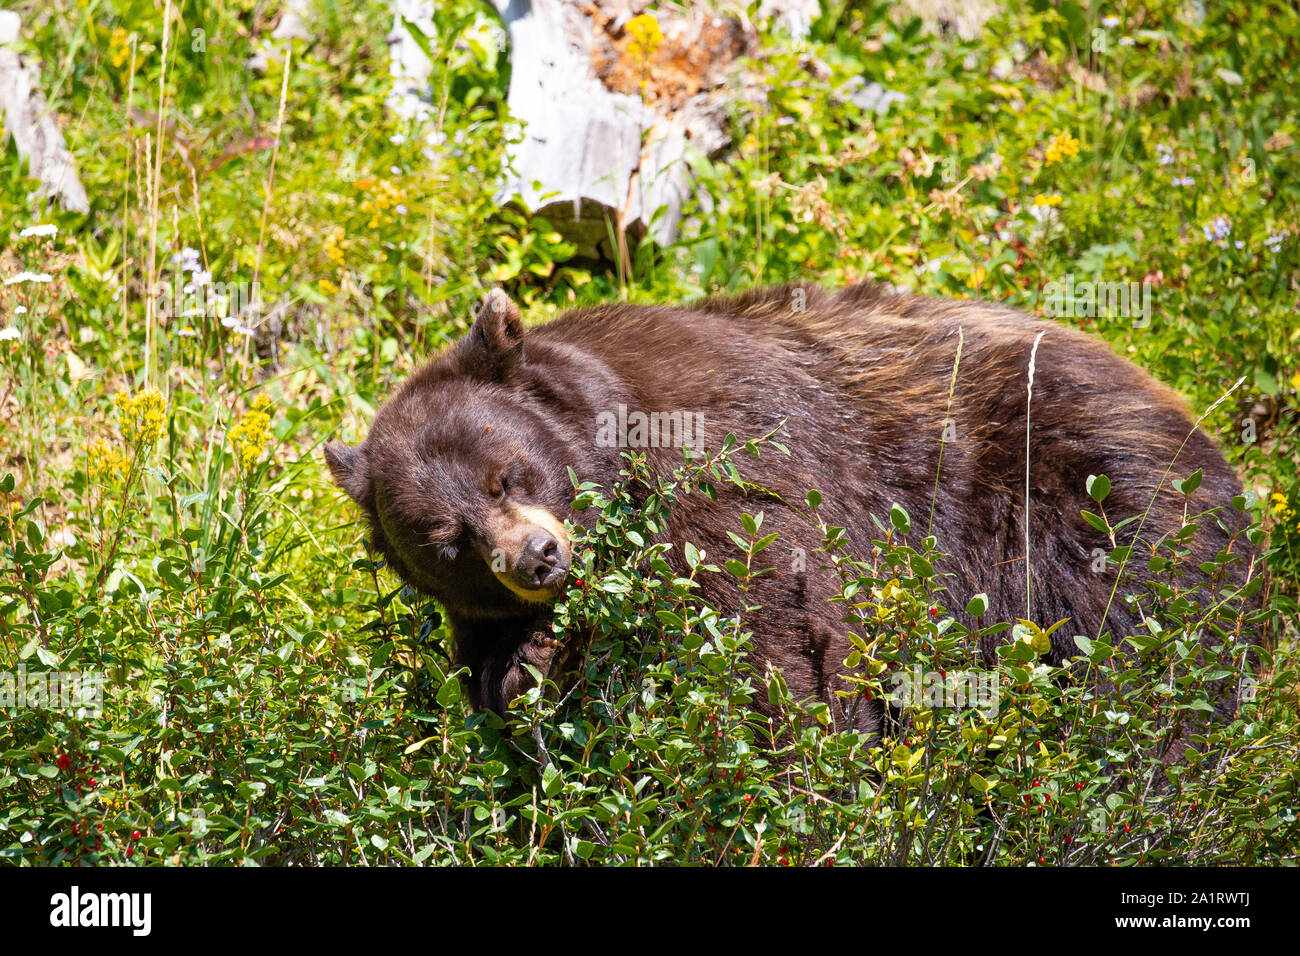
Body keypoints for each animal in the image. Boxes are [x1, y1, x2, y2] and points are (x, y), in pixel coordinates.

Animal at [325, 282, 1259, 731]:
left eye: (507, 476)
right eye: (448, 541)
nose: (537, 558)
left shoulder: (724, 475)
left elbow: (777, 632)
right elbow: (499, 681)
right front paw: (529, 673)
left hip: (1081, 493)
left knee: (1139, 627)